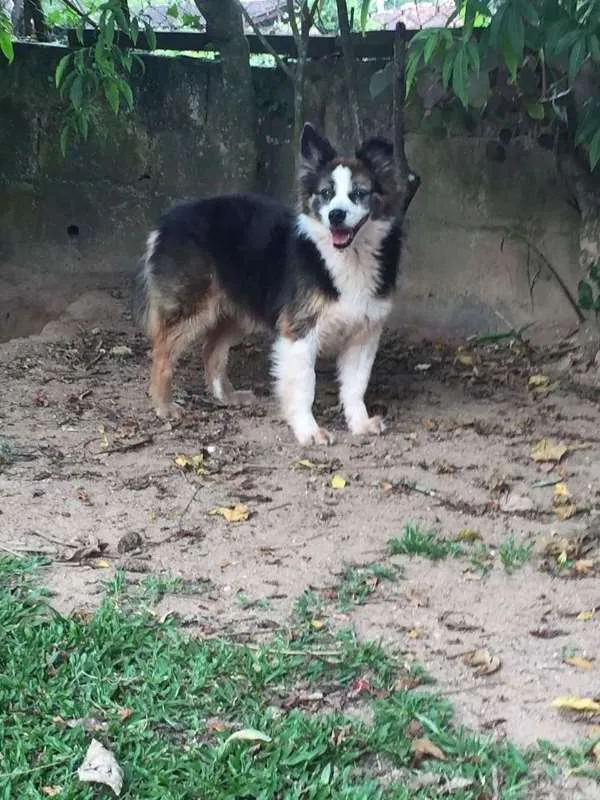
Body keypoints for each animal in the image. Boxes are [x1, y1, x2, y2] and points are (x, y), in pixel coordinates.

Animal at [135, 121, 408, 444]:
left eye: (359, 193)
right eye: (326, 193)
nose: (336, 215)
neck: (346, 257)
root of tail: (166, 221)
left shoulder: (364, 331)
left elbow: (355, 386)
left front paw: (360, 424)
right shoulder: (299, 330)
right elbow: (304, 385)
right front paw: (308, 431)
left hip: (238, 309)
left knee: (211, 349)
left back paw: (227, 396)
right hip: (193, 308)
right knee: (162, 352)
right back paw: (164, 406)